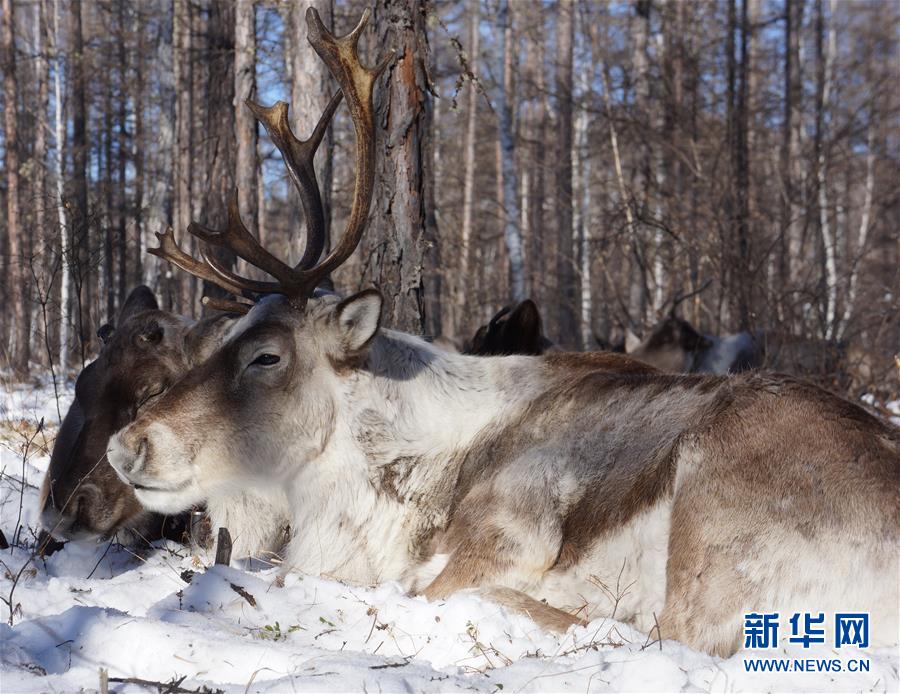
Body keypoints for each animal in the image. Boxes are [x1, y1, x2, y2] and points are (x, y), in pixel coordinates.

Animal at [105, 9, 900, 657]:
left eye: (266, 356)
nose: (126, 444)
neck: (390, 481)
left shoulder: (503, 533)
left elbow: (424, 585)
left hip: (716, 524)